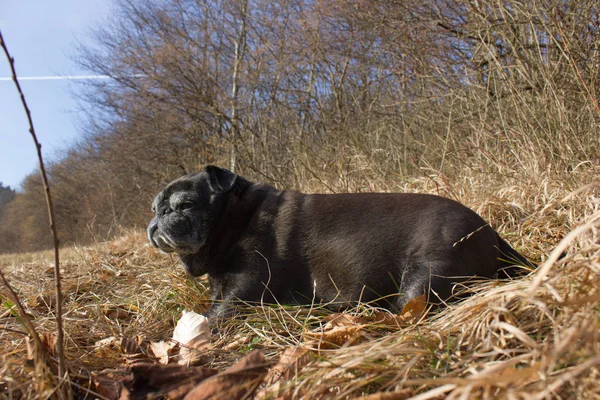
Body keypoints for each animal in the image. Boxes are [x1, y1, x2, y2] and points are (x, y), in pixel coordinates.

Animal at [150, 166, 536, 318]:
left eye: (185, 205)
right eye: (155, 208)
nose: (157, 219)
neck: (238, 218)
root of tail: (493, 235)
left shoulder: (244, 291)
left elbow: (214, 314)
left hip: (426, 273)